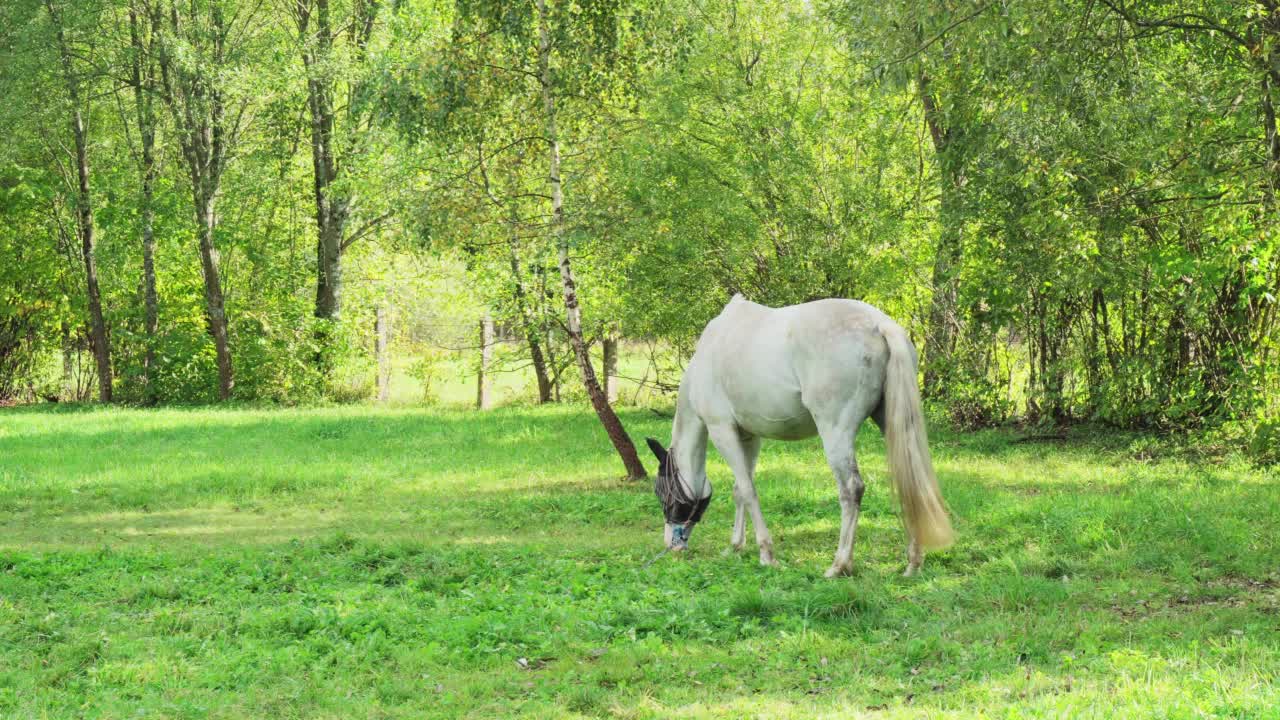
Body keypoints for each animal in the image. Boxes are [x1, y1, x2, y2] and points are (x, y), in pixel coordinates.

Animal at [650, 294, 952, 573]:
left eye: (662, 493)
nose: (671, 546)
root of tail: (879, 325)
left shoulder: (721, 429)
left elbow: (747, 490)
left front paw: (766, 554)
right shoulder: (749, 436)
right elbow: (740, 489)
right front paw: (735, 546)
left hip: (835, 431)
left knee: (851, 488)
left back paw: (839, 565)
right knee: (909, 482)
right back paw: (912, 563)